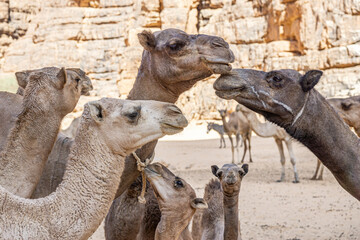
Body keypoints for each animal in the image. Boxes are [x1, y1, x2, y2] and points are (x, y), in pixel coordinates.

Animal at [214, 68, 360, 201]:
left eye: (277, 78)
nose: (226, 77)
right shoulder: (277, 139)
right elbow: (282, 159)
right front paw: (281, 178)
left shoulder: (286, 138)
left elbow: (292, 159)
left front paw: (296, 178)